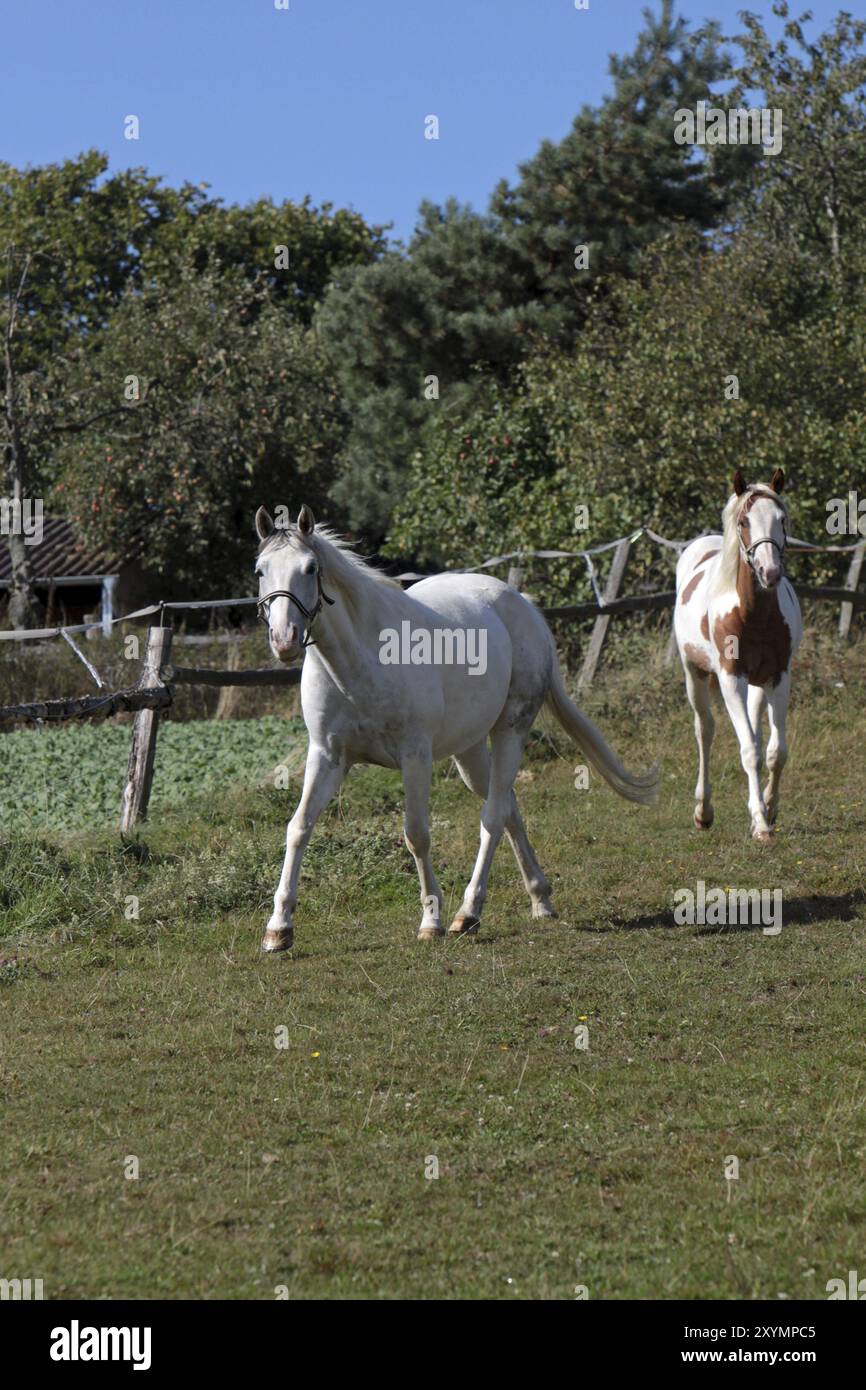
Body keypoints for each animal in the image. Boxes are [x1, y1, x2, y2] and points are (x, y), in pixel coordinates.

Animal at [254, 505, 661, 950]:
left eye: (310, 568)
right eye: (260, 570)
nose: (283, 639)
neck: (361, 661)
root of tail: (522, 605)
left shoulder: (415, 756)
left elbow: (416, 835)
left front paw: (431, 920)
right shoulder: (327, 755)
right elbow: (298, 828)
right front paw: (278, 929)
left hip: (510, 731)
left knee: (494, 815)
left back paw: (468, 913)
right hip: (469, 751)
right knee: (508, 807)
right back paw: (540, 899)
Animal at [675, 467, 800, 839]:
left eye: (781, 519)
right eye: (744, 521)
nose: (770, 572)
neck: (752, 613)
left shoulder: (779, 677)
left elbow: (775, 752)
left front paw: (770, 808)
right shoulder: (731, 679)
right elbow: (748, 752)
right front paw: (760, 822)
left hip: (757, 683)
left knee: (757, 729)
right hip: (695, 675)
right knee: (705, 731)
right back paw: (703, 811)